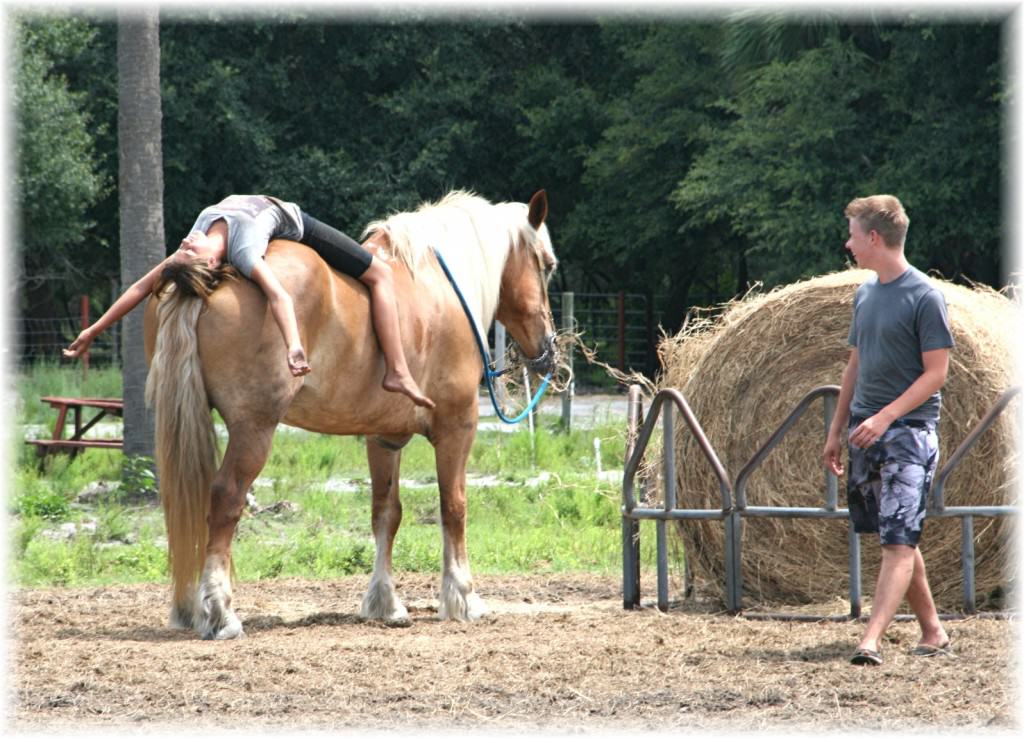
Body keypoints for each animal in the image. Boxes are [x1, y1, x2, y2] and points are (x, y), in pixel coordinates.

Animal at [143, 190, 557, 638]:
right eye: (548, 265)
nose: (548, 348)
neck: (442, 287)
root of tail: (208, 278)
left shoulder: (383, 438)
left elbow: (386, 513)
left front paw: (385, 602)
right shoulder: (457, 428)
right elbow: (454, 507)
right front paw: (462, 597)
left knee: (185, 506)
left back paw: (188, 608)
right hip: (254, 429)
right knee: (224, 501)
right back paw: (220, 612)